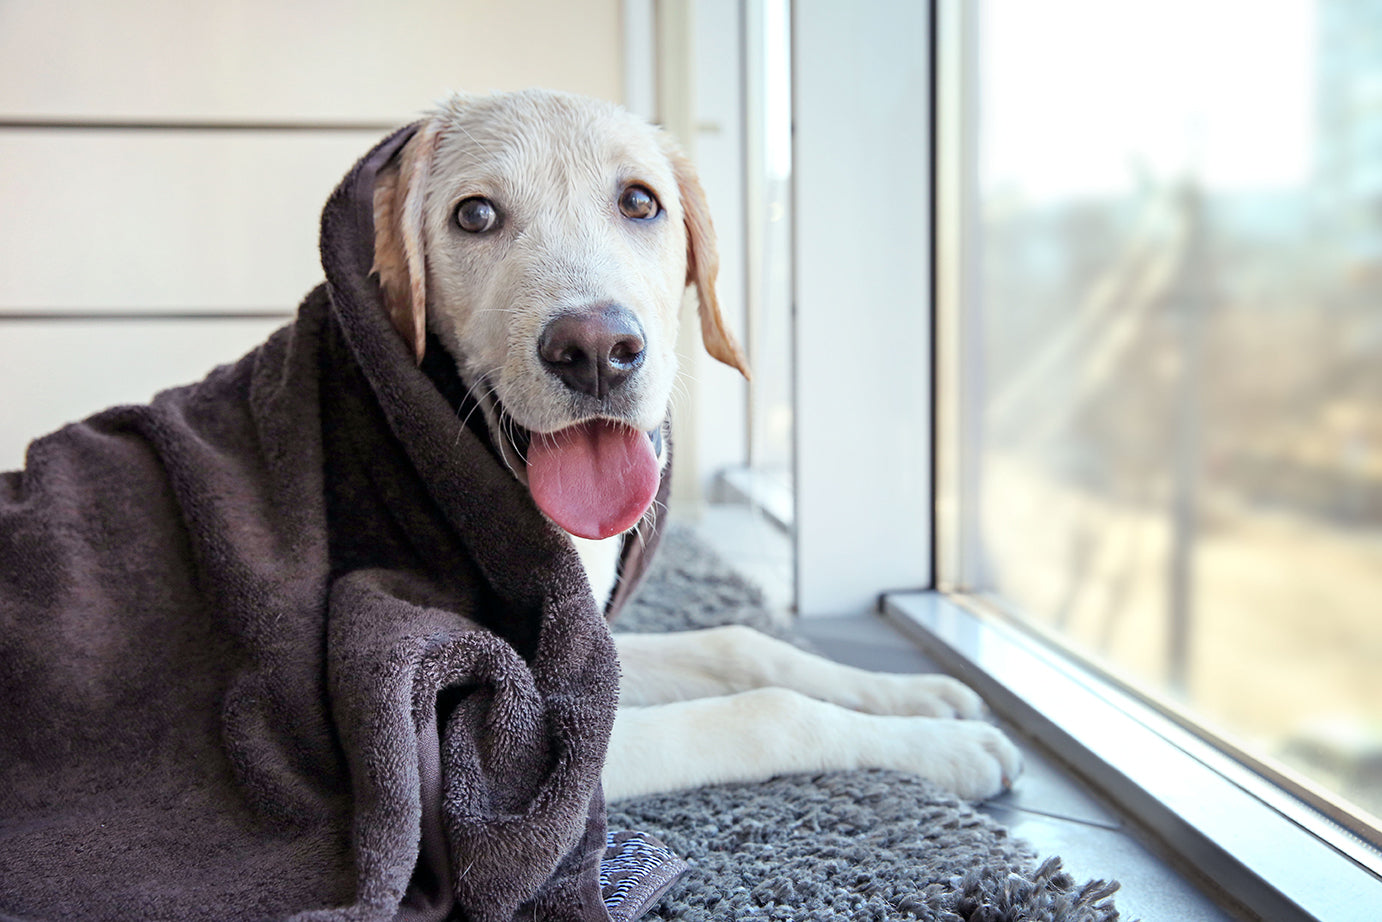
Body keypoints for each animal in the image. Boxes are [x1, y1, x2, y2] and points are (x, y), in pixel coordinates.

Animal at [373, 89, 1022, 801]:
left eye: (639, 202)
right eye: (475, 215)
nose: (596, 351)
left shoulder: (592, 660)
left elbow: (739, 643)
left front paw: (918, 696)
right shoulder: (517, 754)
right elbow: (769, 712)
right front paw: (945, 748)